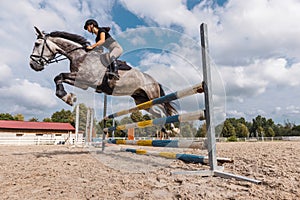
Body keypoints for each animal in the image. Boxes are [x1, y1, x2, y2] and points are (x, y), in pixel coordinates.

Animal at [29, 26, 177, 117]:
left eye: (37, 44)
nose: (32, 65)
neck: (80, 56)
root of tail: (154, 81)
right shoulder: (82, 83)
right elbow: (59, 77)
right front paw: (68, 97)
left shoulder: (85, 78)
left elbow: (58, 76)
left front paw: (67, 97)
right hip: (142, 101)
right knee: (158, 113)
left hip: (153, 96)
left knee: (164, 111)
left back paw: (172, 129)